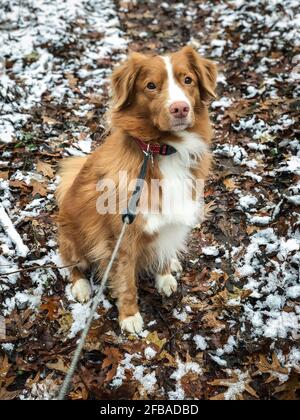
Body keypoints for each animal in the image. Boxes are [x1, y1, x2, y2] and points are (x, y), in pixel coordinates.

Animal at [55, 46, 217, 334]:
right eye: (151, 86)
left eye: (188, 80)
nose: (180, 108)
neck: (160, 150)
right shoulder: (122, 235)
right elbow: (126, 280)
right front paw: (129, 316)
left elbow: (164, 248)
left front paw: (164, 275)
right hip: (71, 237)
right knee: (73, 265)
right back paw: (81, 286)